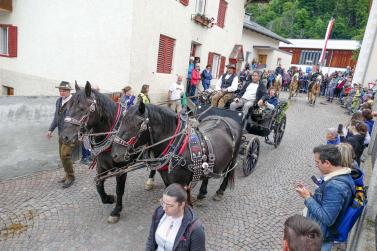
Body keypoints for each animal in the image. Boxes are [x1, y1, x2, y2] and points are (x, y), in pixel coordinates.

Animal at [110, 102, 242, 202]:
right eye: (122, 121)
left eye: (138, 124)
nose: (115, 154)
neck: (178, 147)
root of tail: (226, 119)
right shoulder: (168, 180)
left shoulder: (181, 183)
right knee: (208, 173)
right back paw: (202, 192)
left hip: (233, 158)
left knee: (228, 173)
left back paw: (220, 192)